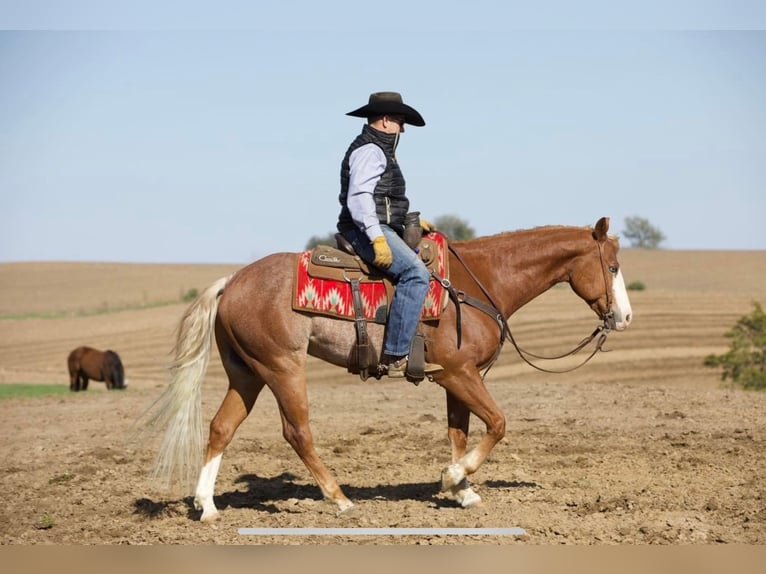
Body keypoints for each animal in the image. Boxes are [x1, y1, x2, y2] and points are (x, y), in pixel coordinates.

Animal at [146, 216, 636, 520]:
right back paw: (340, 499)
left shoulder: (456, 378)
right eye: (612, 266)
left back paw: (208, 507)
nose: (626, 317)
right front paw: (453, 478)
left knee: (221, 427)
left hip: (246, 373)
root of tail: (233, 282)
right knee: (297, 432)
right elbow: (497, 424)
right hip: (282, 367)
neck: (478, 282)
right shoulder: (458, 373)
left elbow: (459, 433)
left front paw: (463, 491)